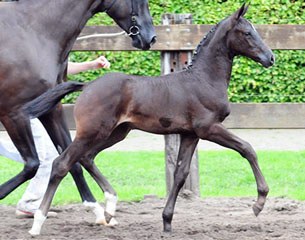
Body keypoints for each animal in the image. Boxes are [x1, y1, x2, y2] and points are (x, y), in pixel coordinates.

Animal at [0, 0, 156, 224]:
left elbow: (70, 162)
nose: (150, 38)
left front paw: (96, 209)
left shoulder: (51, 109)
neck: (34, 32)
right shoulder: (14, 114)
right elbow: (32, 164)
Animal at [25, 3, 274, 236]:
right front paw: (259, 203)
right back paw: (38, 223)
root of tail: (87, 86)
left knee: (87, 157)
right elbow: (247, 148)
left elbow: (180, 174)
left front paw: (167, 221)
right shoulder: (208, 128)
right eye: (247, 33)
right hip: (92, 132)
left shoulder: (190, 134)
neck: (204, 79)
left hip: (116, 133)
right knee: (62, 164)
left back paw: (110, 208)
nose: (270, 58)